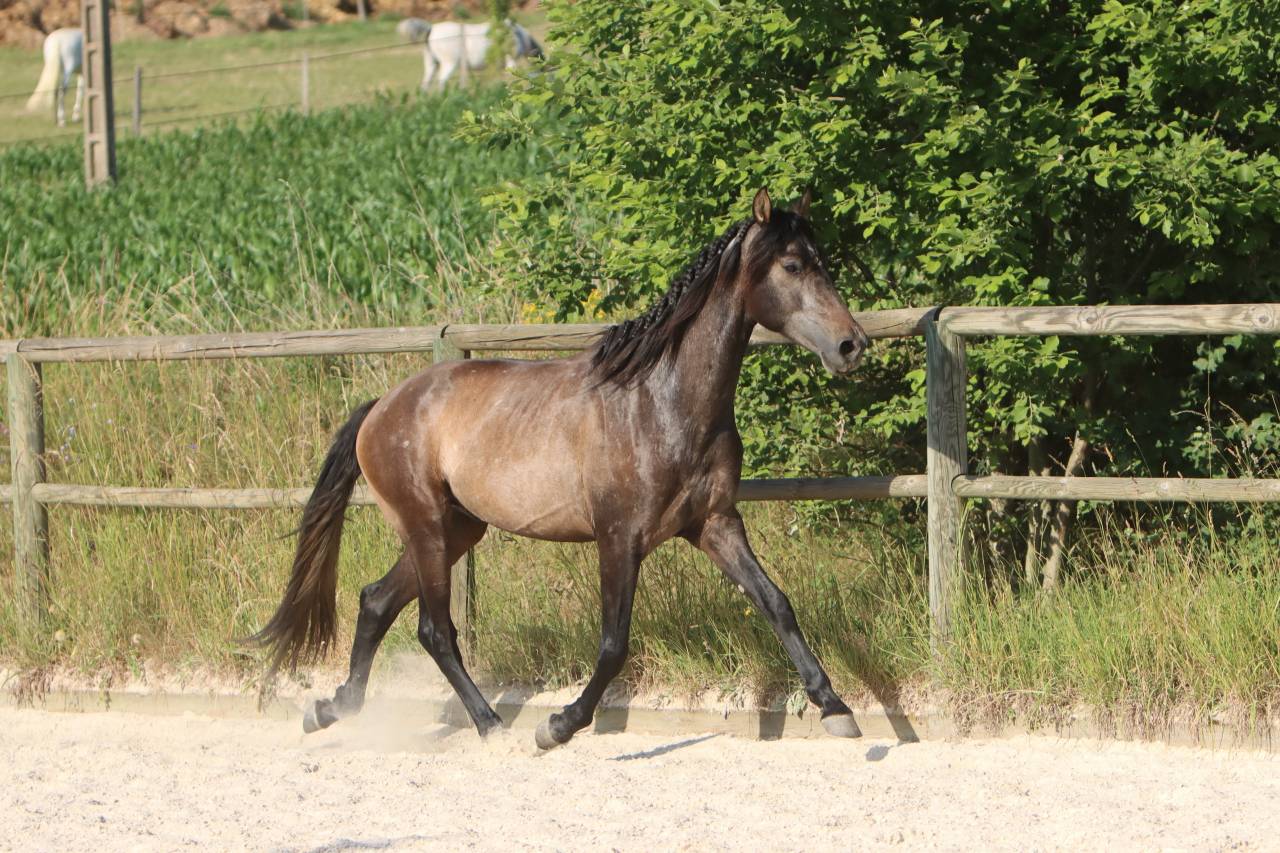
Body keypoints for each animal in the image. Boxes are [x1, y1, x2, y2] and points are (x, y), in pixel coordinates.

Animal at [253, 188, 870, 750]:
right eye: (792, 265)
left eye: (822, 261)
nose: (852, 345)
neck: (660, 401)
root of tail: (382, 407)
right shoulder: (618, 537)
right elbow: (613, 644)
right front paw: (558, 725)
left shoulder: (714, 524)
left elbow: (777, 604)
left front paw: (836, 709)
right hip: (426, 527)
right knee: (434, 630)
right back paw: (491, 726)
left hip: (457, 529)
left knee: (376, 601)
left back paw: (331, 709)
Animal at [397, 18, 543, 91]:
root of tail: (431, 29)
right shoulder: (511, 62)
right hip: (449, 64)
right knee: (442, 81)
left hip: (432, 64)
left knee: (426, 85)